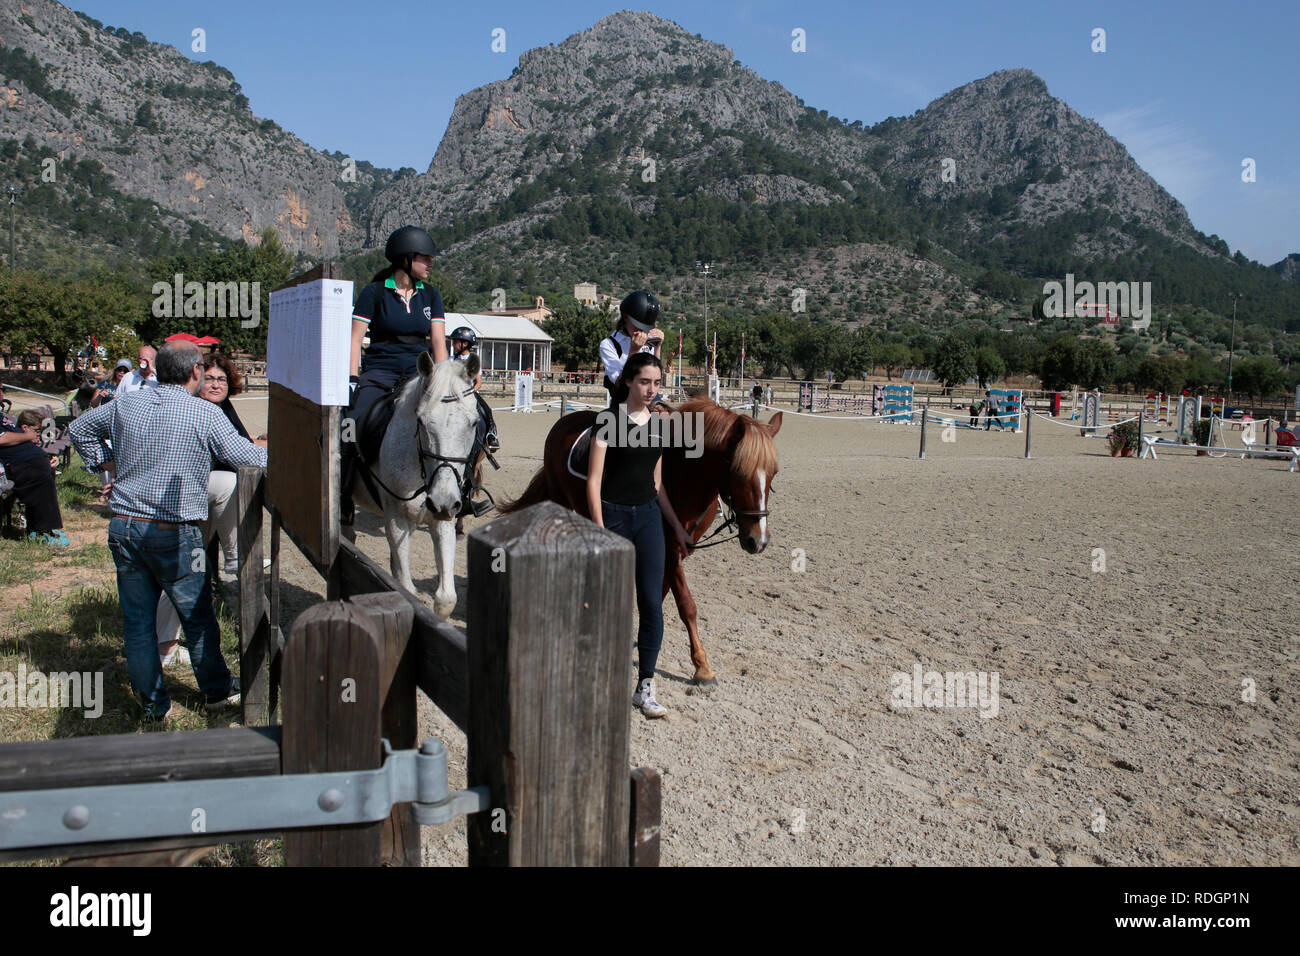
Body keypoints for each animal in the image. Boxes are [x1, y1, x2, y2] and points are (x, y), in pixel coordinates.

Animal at [351, 356, 483, 616]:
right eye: (420, 421)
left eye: (474, 423)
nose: (442, 501)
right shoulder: (396, 519)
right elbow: (406, 590)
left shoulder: (443, 519)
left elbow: (446, 598)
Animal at [501, 400, 774, 686]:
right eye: (739, 473)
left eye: (773, 475)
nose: (759, 540)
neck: (683, 471)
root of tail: (564, 422)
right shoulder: (669, 546)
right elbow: (686, 604)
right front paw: (702, 666)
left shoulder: (677, 547)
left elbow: (659, 593)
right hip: (559, 500)